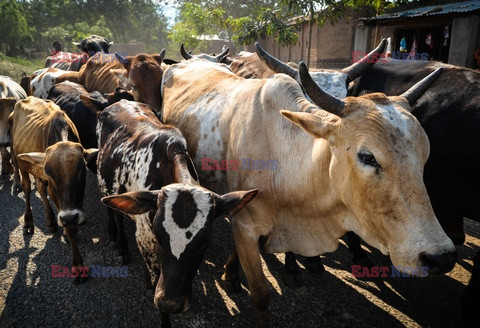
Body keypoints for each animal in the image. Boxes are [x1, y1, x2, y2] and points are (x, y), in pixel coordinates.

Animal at [9, 96, 96, 284]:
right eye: (50, 174)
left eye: (82, 170)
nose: (69, 217)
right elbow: (69, 227)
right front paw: (77, 265)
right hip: (22, 165)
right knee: (27, 189)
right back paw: (28, 222)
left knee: (41, 189)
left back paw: (50, 220)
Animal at [95, 100, 256, 328]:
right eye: (159, 235)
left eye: (203, 243)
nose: (171, 303)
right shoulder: (145, 237)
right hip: (105, 185)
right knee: (113, 212)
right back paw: (119, 244)